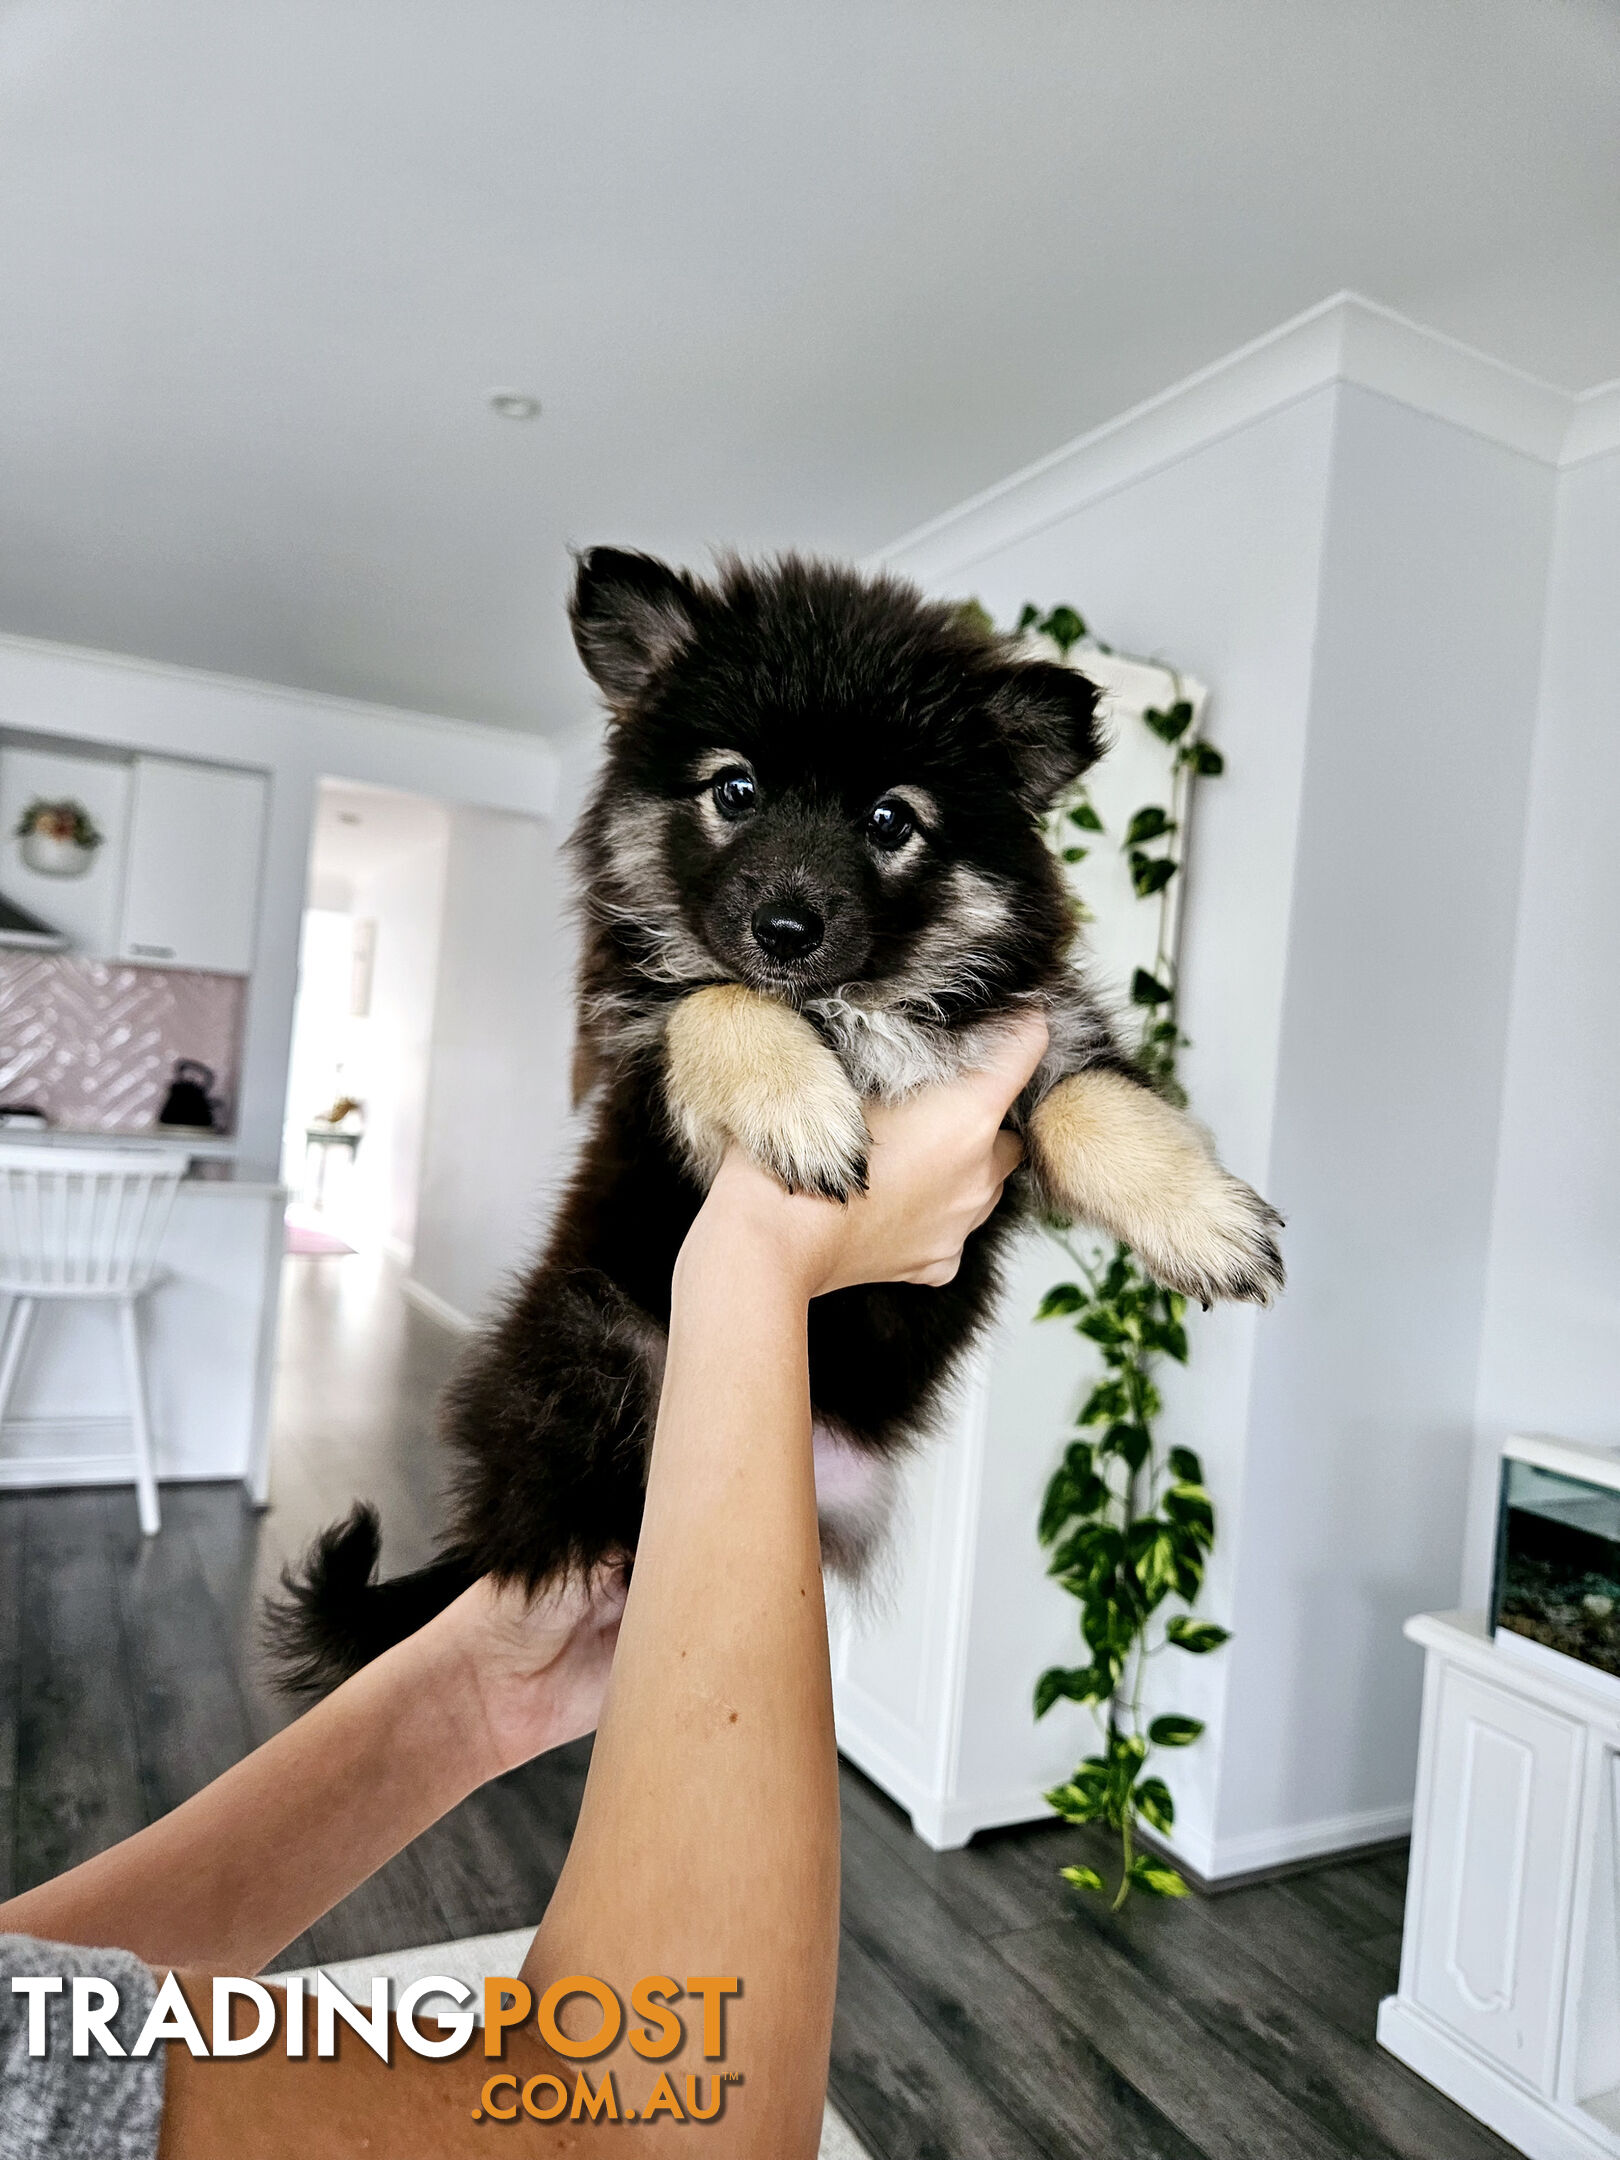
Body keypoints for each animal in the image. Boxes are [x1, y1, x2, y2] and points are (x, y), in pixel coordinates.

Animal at [270, 548, 1278, 1693]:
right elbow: (715, 1000)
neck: (853, 1006)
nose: (785, 929)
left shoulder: (1036, 1041)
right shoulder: (654, 1072)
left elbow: (1102, 1103)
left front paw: (1206, 1220)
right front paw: (801, 1106)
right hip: (594, 1347)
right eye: (735, 790)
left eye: (891, 820)